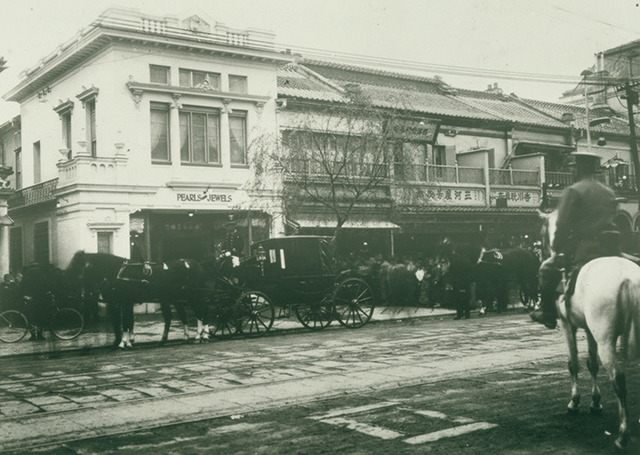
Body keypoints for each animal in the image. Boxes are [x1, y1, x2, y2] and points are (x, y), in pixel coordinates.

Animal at [540, 212, 640, 450]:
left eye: (542, 230)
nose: (542, 250)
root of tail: (629, 278)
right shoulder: (589, 329)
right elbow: (591, 364)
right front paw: (595, 403)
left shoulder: (567, 324)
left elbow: (573, 363)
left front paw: (574, 402)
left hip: (605, 340)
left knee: (619, 379)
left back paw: (623, 434)